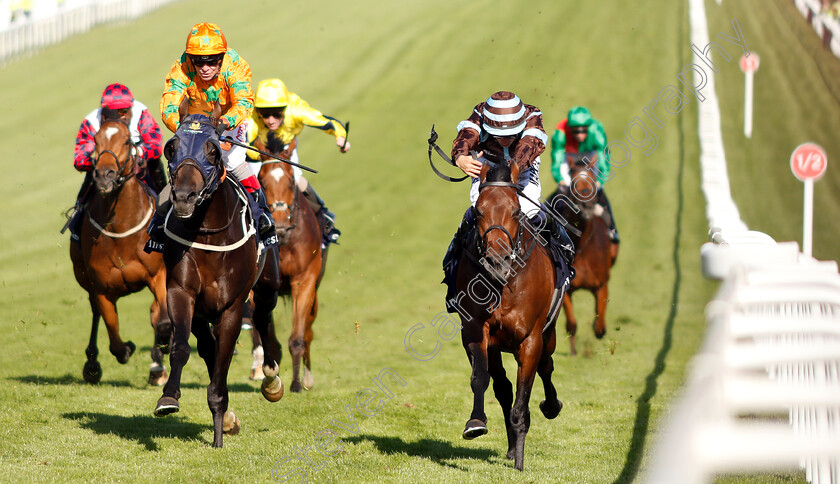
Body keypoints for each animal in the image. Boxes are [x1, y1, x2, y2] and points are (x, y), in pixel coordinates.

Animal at [71, 120, 172, 386]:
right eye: (95, 140)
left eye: (127, 141)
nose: (104, 175)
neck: (122, 230)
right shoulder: (100, 287)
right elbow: (114, 336)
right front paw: (125, 349)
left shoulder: (159, 275)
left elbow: (162, 321)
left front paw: (163, 352)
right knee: (96, 314)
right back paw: (92, 363)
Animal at [151, 111, 282, 448]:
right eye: (172, 148)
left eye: (212, 151)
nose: (184, 197)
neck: (208, 232)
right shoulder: (181, 293)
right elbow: (182, 348)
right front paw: (168, 398)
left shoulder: (232, 308)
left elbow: (223, 360)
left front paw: (219, 435)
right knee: (207, 347)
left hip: (268, 285)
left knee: (263, 317)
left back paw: (271, 378)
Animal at [452, 161, 564, 470]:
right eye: (479, 211)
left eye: (515, 210)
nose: (496, 263)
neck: (504, 283)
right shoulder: (476, 330)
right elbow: (481, 378)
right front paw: (476, 423)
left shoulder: (531, 339)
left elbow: (522, 401)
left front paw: (520, 463)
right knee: (502, 387)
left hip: (549, 334)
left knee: (546, 366)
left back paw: (551, 406)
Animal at [544, 151, 616, 356]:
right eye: (573, 179)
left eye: (592, 177)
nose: (587, 205)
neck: (581, 243)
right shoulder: (565, 288)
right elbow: (572, 324)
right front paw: (574, 352)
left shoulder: (601, 284)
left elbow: (599, 326)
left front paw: (599, 329)